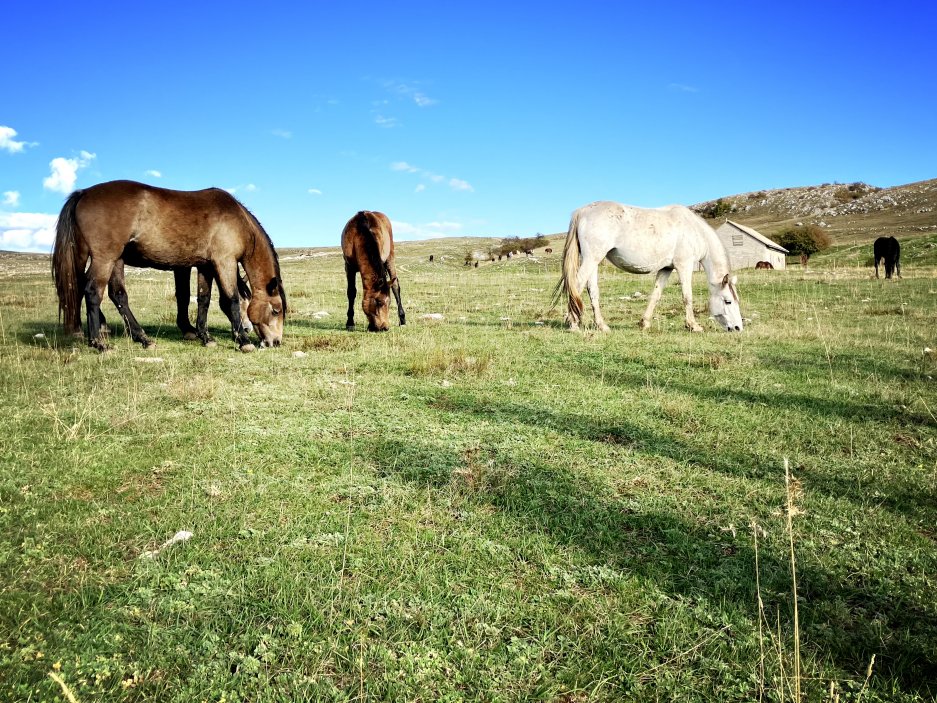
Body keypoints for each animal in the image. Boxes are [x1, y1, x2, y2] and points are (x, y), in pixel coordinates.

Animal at [50, 179, 284, 350]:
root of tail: (84, 193)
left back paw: (140, 338)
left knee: (113, 294)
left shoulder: (205, 266)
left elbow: (203, 299)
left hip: (109, 259)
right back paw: (99, 343)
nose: (275, 342)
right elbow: (230, 300)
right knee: (92, 291)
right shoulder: (224, 262)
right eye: (276, 310)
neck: (236, 220)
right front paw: (243, 341)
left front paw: (205, 336)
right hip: (104, 258)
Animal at [552, 202, 744, 334]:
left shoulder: (666, 269)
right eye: (727, 301)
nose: (737, 327)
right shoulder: (684, 266)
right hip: (592, 258)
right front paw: (693, 325)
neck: (694, 230)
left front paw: (644, 323)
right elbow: (687, 296)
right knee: (576, 285)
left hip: (592, 260)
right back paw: (573, 324)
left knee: (592, 291)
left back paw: (602, 326)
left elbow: (655, 295)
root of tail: (583, 211)